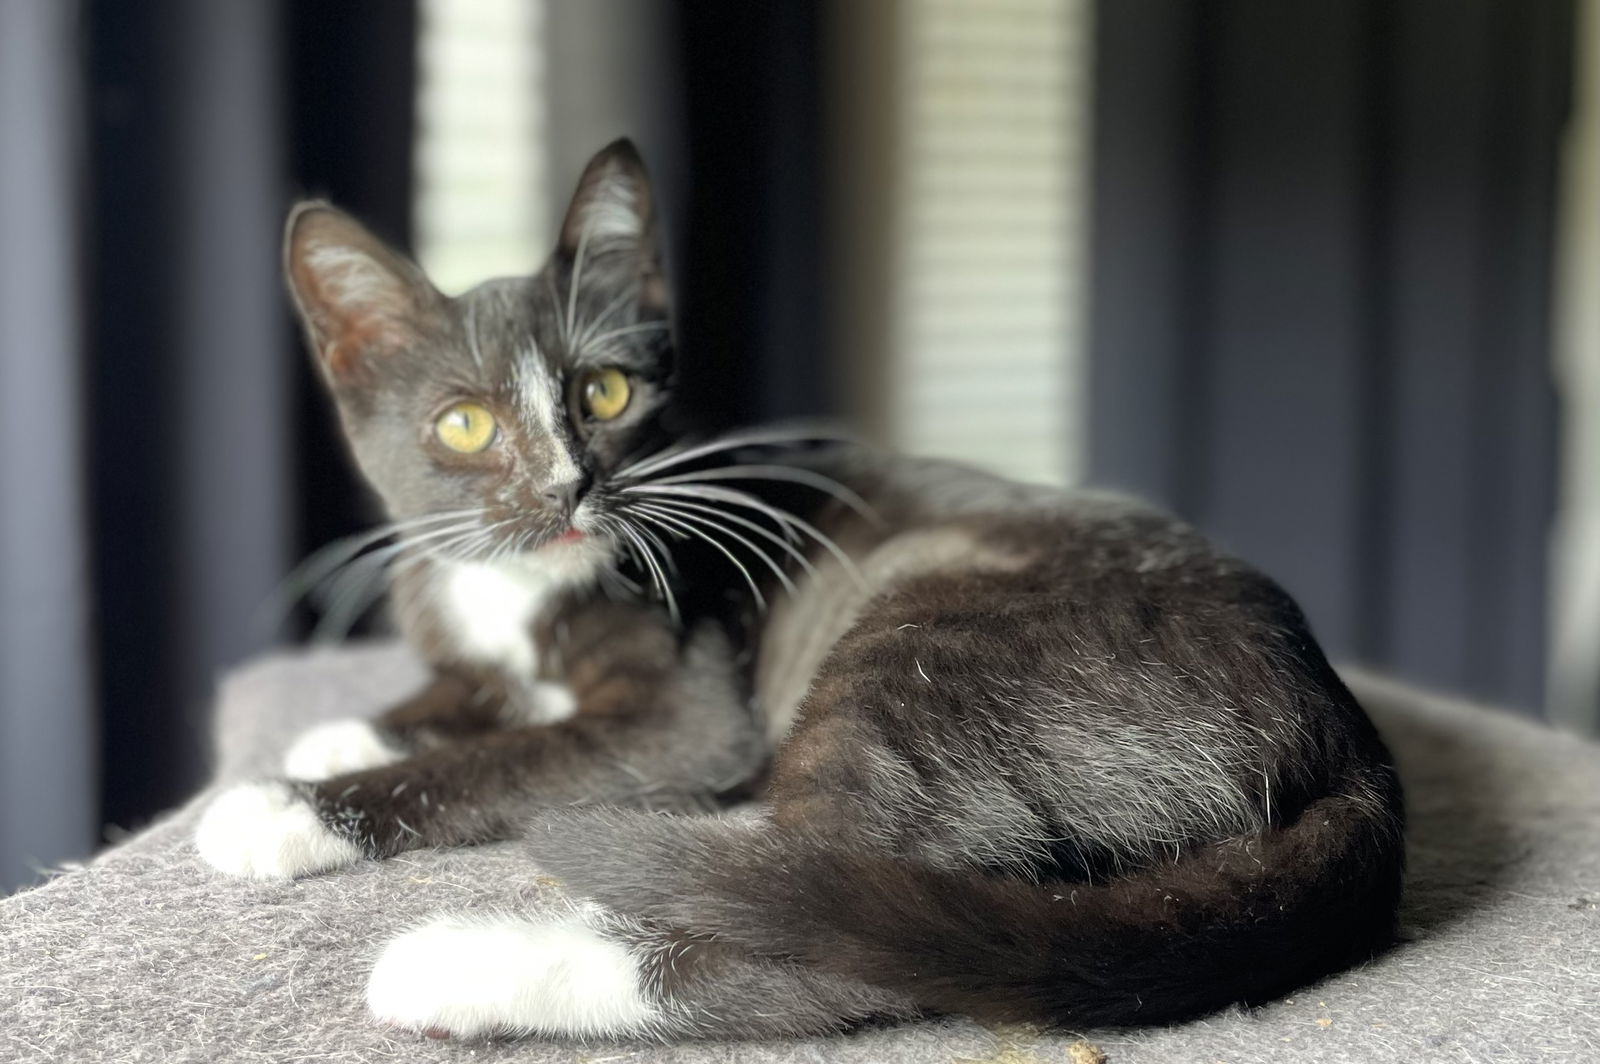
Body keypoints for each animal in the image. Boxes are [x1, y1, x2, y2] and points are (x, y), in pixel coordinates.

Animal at [196, 139, 1401, 1036]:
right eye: (462, 425)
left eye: (605, 390)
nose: (568, 486)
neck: (524, 585)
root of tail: (1345, 737)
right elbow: (466, 697)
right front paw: (347, 733)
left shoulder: (688, 716)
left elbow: (507, 756)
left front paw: (283, 805)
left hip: (926, 636)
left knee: (836, 934)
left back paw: (465, 966)